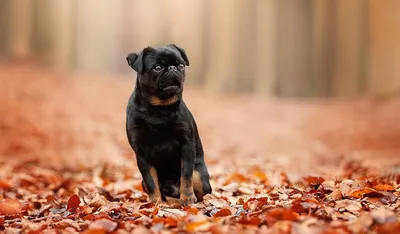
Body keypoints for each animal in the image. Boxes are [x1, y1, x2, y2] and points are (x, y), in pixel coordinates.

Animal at [125, 44, 212, 206]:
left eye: (181, 65)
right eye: (158, 67)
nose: (173, 68)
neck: (159, 109)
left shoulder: (187, 145)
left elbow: (186, 176)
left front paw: (187, 199)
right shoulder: (141, 153)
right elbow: (151, 181)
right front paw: (156, 203)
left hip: (198, 174)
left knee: (199, 187)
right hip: (143, 182)